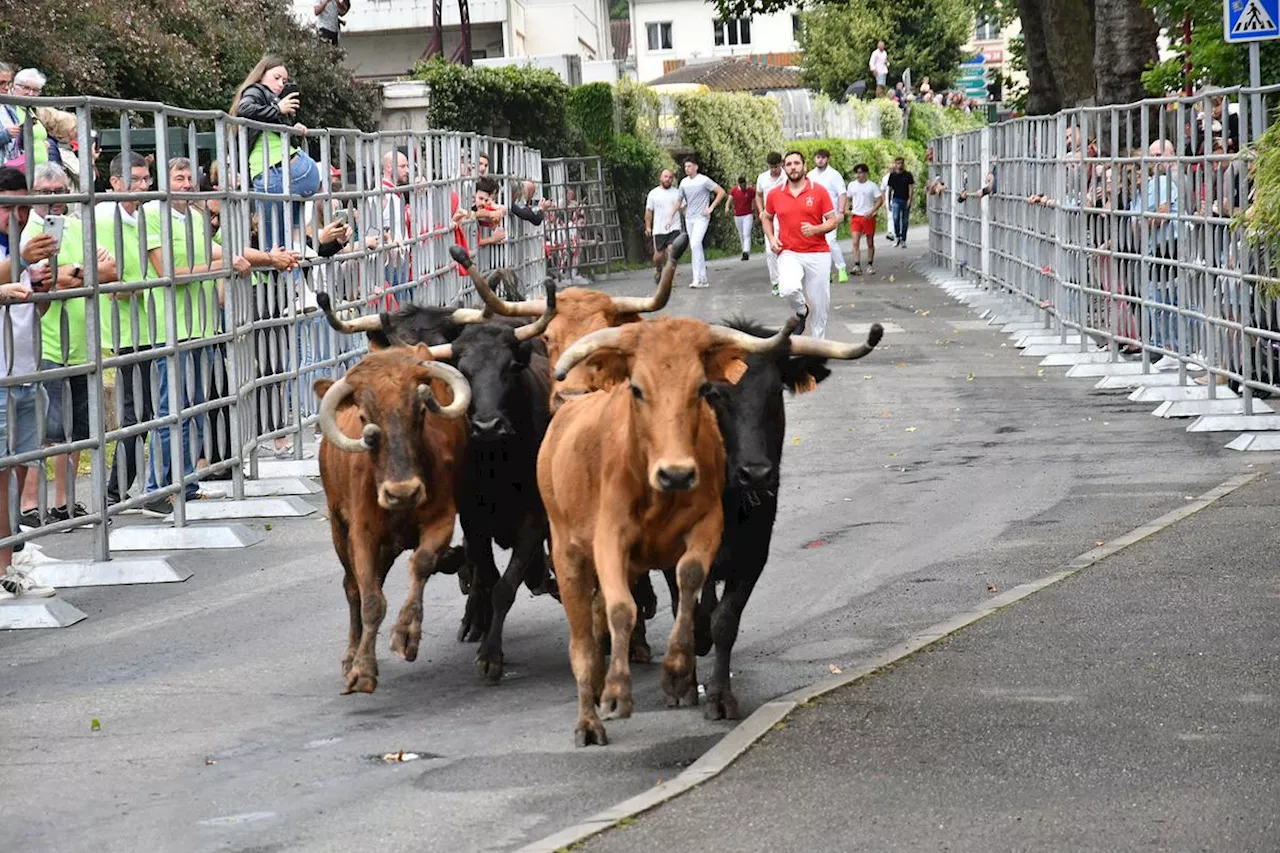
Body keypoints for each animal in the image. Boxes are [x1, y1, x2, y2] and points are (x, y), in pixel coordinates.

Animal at [313, 345, 471, 691]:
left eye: (421, 413)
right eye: (364, 418)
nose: (403, 492)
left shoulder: (442, 519)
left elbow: (421, 564)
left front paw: (405, 635)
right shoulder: (361, 533)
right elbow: (371, 599)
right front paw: (362, 669)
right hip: (338, 529)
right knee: (352, 588)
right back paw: (351, 654)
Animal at [532, 313, 793, 742]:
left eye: (700, 388)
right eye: (637, 389)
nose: (676, 473)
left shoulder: (713, 534)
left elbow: (694, 588)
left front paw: (679, 671)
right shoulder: (609, 541)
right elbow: (623, 609)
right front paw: (618, 692)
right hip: (568, 556)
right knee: (583, 639)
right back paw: (589, 718)